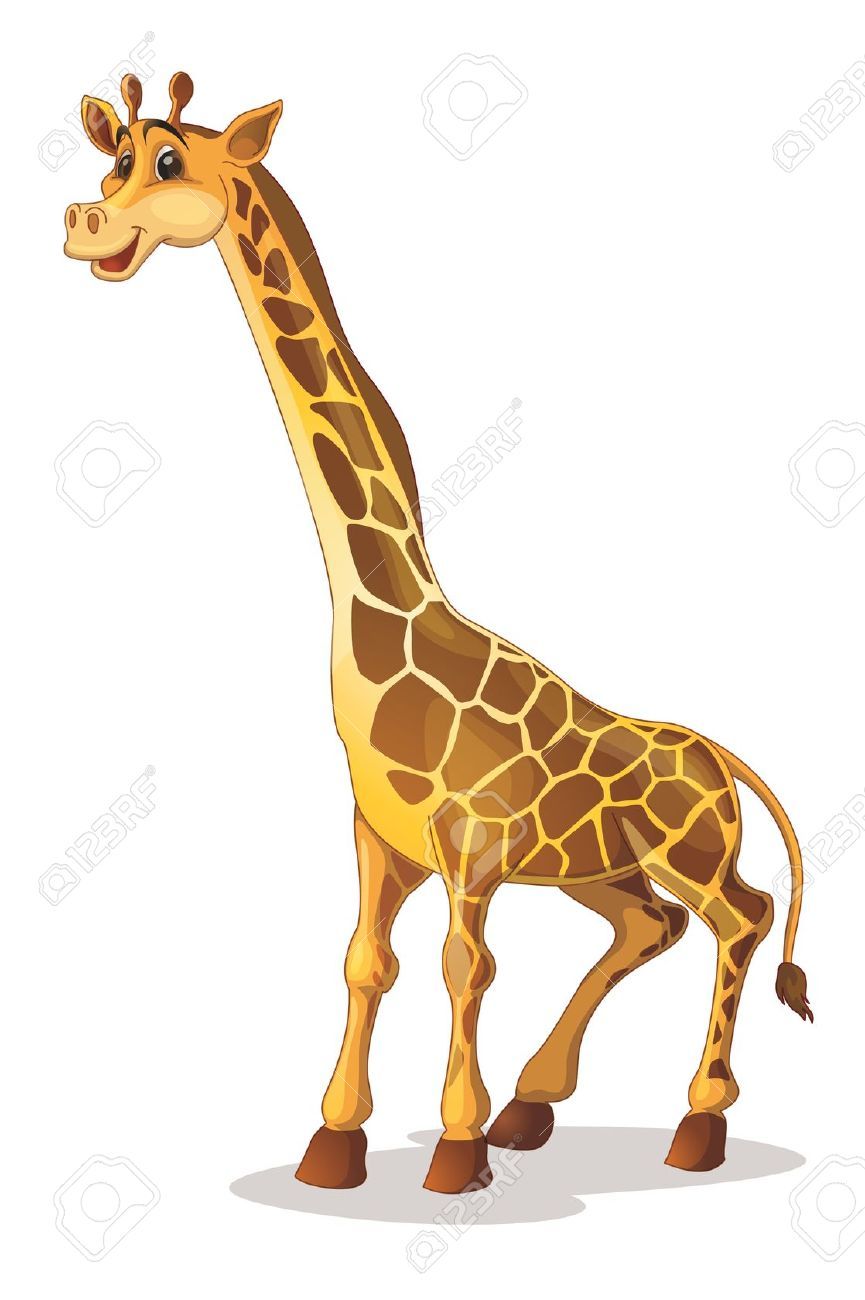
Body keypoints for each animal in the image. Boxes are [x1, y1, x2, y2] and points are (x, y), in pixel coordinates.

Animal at [64, 73, 813, 1196]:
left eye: (166, 163)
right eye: (113, 162)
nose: (85, 222)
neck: (386, 619)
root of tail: (721, 759)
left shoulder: (472, 845)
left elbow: (468, 968)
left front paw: (453, 1154)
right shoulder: (379, 836)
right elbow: (365, 961)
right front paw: (335, 1144)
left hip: (689, 848)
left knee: (744, 914)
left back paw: (695, 1121)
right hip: (599, 868)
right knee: (656, 922)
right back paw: (533, 1105)